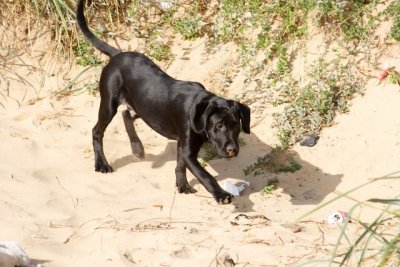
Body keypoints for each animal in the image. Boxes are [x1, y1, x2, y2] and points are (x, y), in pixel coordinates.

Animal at [76, 0, 250, 205]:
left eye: (237, 125)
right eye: (220, 125)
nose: (232, 150)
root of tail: (117, 55)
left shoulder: (182, 146)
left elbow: (179, 166)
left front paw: (182, 186)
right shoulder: (188, 150)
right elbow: (206, 175)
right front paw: (221, 194)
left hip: (144, 108)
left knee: (127, 114)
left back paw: (137, 147)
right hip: (109, 102)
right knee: (97, 130)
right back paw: (102, 164)